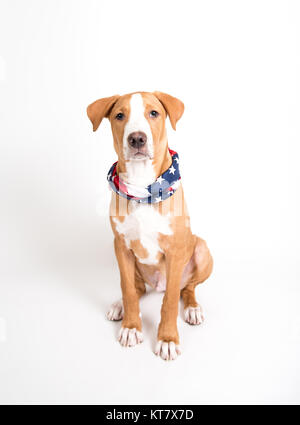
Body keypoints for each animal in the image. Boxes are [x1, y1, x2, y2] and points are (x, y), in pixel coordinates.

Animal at [86, 92, 213, 358]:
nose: (137, 138)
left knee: (187, 288)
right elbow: (128, 290)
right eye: (119, 115)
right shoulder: (121, 246)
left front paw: (167, 339)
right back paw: (119, 306)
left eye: (154, 113)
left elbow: (170, 302)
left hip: (202, 249)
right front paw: (131, 327)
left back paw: (193, 308)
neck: (142, 187)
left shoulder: (175, 252)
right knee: (138, 289)